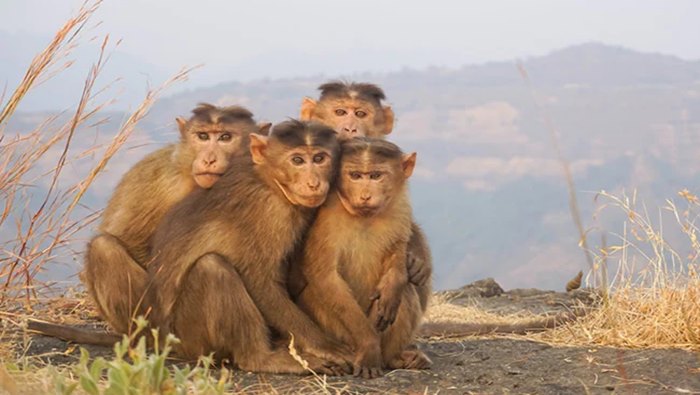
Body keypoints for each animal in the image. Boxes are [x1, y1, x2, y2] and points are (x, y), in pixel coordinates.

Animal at [80, 103, 270, 336]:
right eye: (203, 136)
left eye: (225, 137)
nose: (208, 159)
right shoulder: (164, 182)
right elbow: (129, 240)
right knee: (103, 248)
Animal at [142, 120, 352, 374]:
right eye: (298, 160)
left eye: (320, 158)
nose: (313, 183)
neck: (269, 182)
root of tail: (165, 342)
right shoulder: (269, 213)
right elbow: (260, 282)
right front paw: (324, 345)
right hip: (190, 339)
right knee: (212, 267)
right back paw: (262, 358)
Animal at [294, 138, 432, 378]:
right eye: (356, 175)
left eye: (376, 175)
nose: (365, 195)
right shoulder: (327, 217)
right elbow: (326, 277)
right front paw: (369, 346)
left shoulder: (400, 207)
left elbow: (397, 254)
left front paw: (392, 286)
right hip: (339, 333)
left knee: (405, 290)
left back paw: (394, 358)